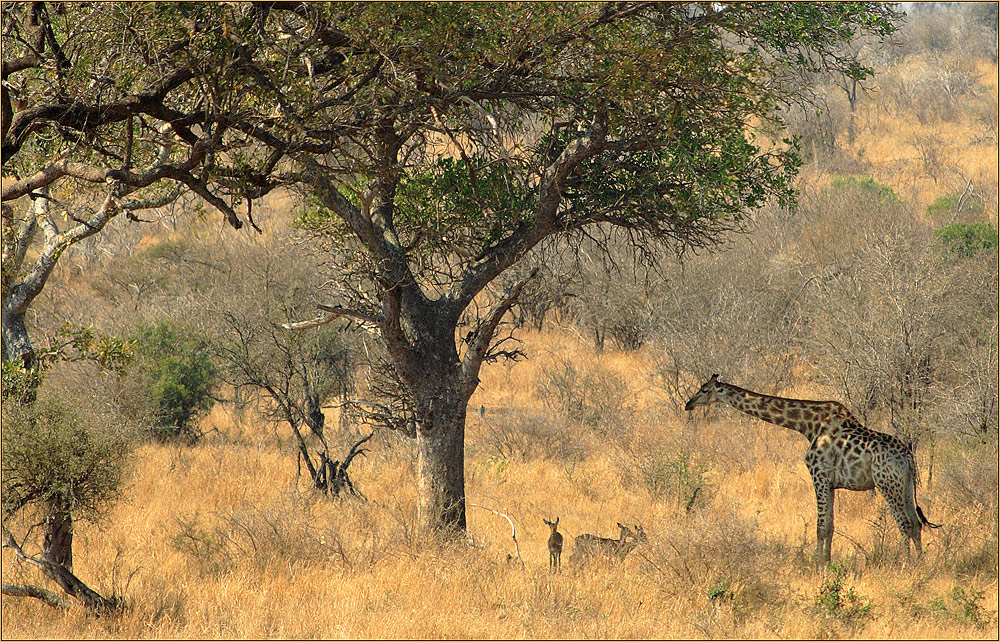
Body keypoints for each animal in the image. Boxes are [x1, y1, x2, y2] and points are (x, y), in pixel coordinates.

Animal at [684, 372, 940, 564]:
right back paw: (920, 563)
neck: (807, 424)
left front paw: (817, 564)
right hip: (906, 485)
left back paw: (906, 563)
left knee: (904, 524)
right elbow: (831, 526)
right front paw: (827, 561)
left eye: (704, 390)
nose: (689, 404)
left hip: (887, 483)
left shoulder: (819, 475)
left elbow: (821, 526)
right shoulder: (832, 483)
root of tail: (907, 456)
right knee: (916, 524)